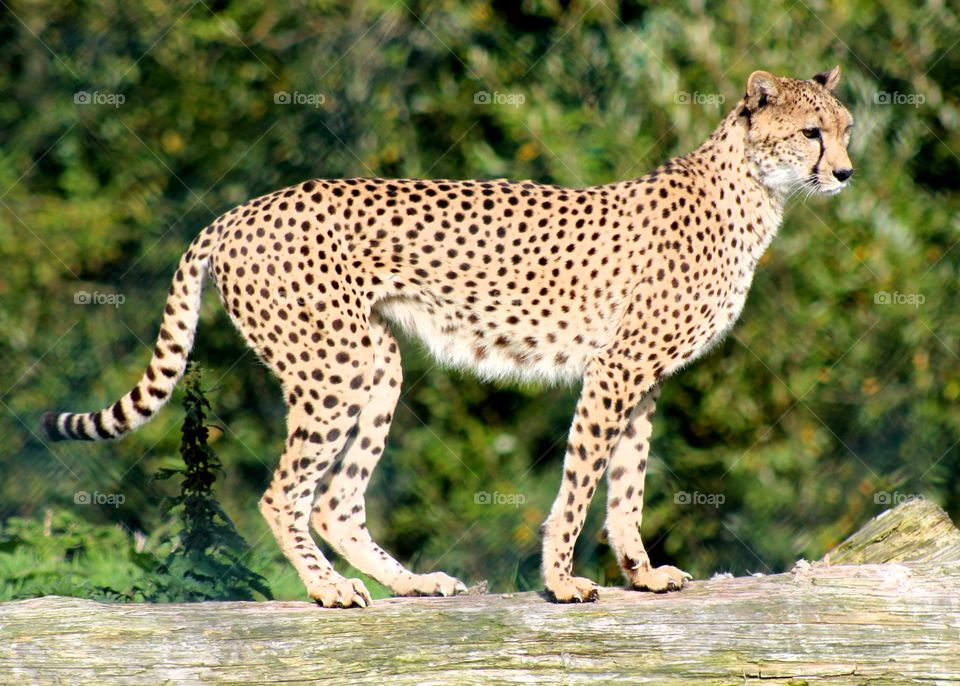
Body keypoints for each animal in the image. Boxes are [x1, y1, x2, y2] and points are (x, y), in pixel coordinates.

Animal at [42, 66, 854, 607]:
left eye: (847, 130)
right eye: (812, 132)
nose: (846, 172)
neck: (754, 190)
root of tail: (242, 209)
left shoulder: (641, 378)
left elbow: (626, 484)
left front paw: (642, 572)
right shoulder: (616, 369)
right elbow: (581, 481)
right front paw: (562, 582)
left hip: (377, 362)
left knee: (336, 499)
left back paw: (409, 582)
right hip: (332, 365)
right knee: (284, 493)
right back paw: (330, 590)